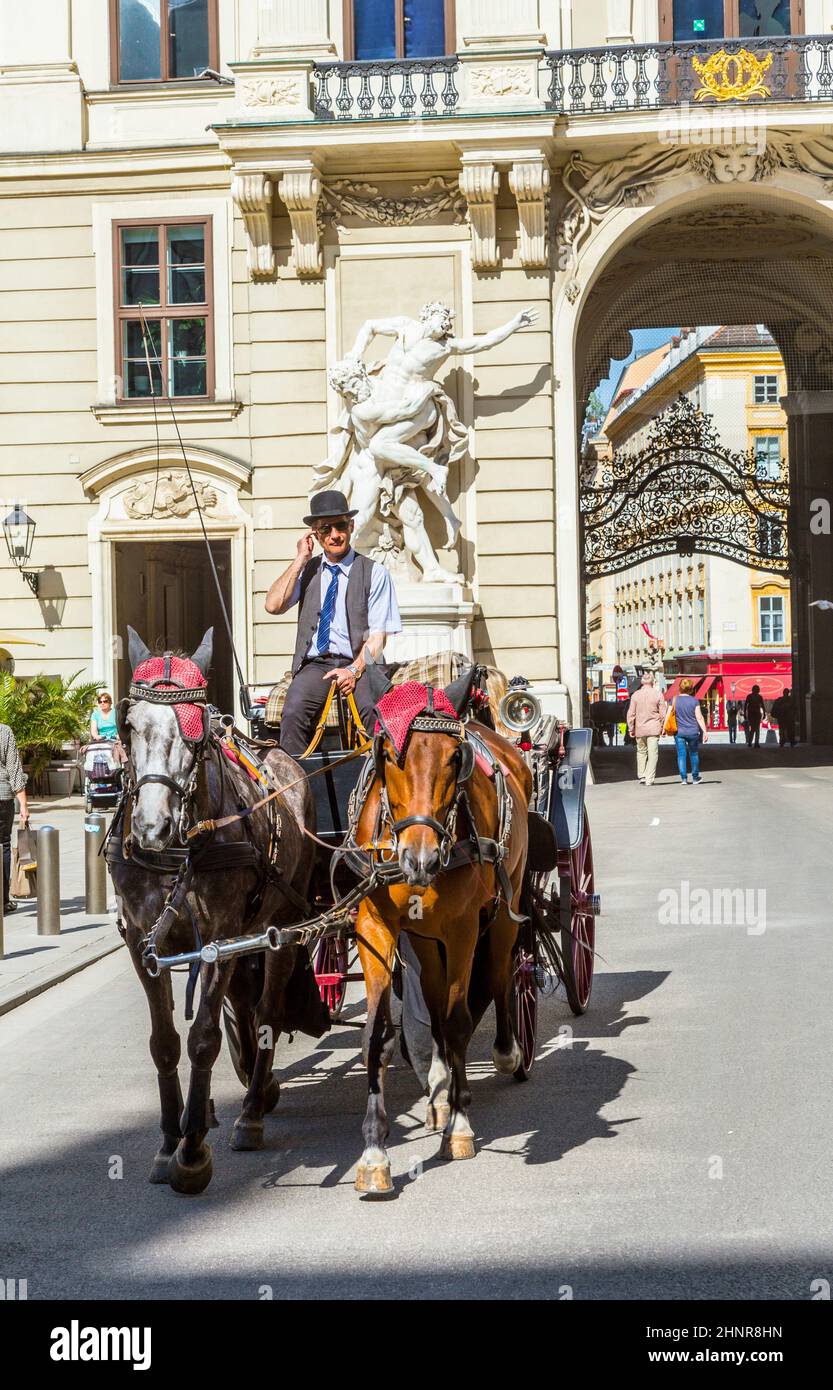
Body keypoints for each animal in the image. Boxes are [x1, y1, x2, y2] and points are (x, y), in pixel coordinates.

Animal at [109, 631, 330, 1195]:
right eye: (128, 724)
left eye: (197, 730)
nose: (151, 827)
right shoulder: (142, 943)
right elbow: (165, 1043)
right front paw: (169, 1140)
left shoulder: (220, 936)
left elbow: (203, 1037)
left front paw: (191, 1153)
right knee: (246, 1004)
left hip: (282, 926)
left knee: (268, 1010)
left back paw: (251, 1110)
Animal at [349, 667, 531, 1189]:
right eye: (389, 754)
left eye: (455, 758)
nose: (421, 858)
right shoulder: (374, 925)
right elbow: (379, 1035)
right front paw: (374, 1151)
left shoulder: (463, 929)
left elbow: (457, 1021)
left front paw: (461, 1125)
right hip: (423, 938)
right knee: (430, 996)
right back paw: (437, 1085)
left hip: (507, 902)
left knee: (500, 971)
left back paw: (505, 1053)